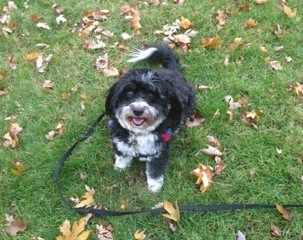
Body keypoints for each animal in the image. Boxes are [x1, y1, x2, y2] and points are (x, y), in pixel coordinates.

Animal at [105, 44, 196, 192]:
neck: (138, 134)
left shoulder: (159, 152)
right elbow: (122, 154)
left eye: (151, 95)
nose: (137, 110)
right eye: (129, 93)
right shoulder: (120, 140)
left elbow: (155, 170)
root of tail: (172, 70)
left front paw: (154, 186)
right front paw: (121, 166)